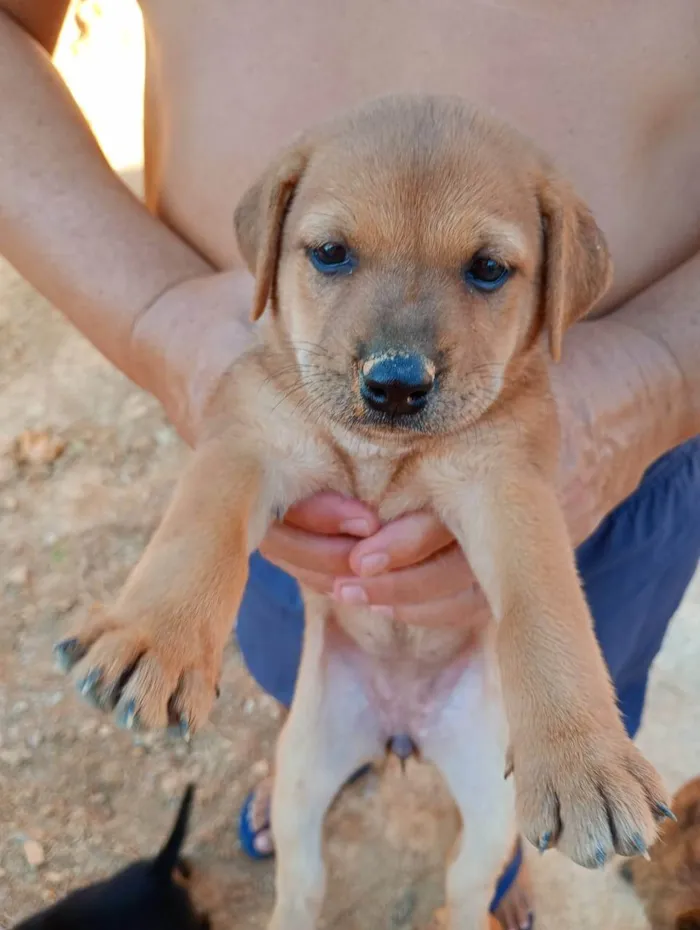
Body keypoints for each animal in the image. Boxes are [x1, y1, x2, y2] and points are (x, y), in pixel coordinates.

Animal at [54, 98, 668, 924]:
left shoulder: (510, 491)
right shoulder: (250, 440)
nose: (397, 384)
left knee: (466, 889)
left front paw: (584, 757)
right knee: (303, 882)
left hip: (488, 808)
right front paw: (156, 637)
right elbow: (198, 530)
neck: (380, 452)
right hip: (303, 777)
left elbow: (549, 617)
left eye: (488, 269)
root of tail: (400, 732)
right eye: (331, 253)